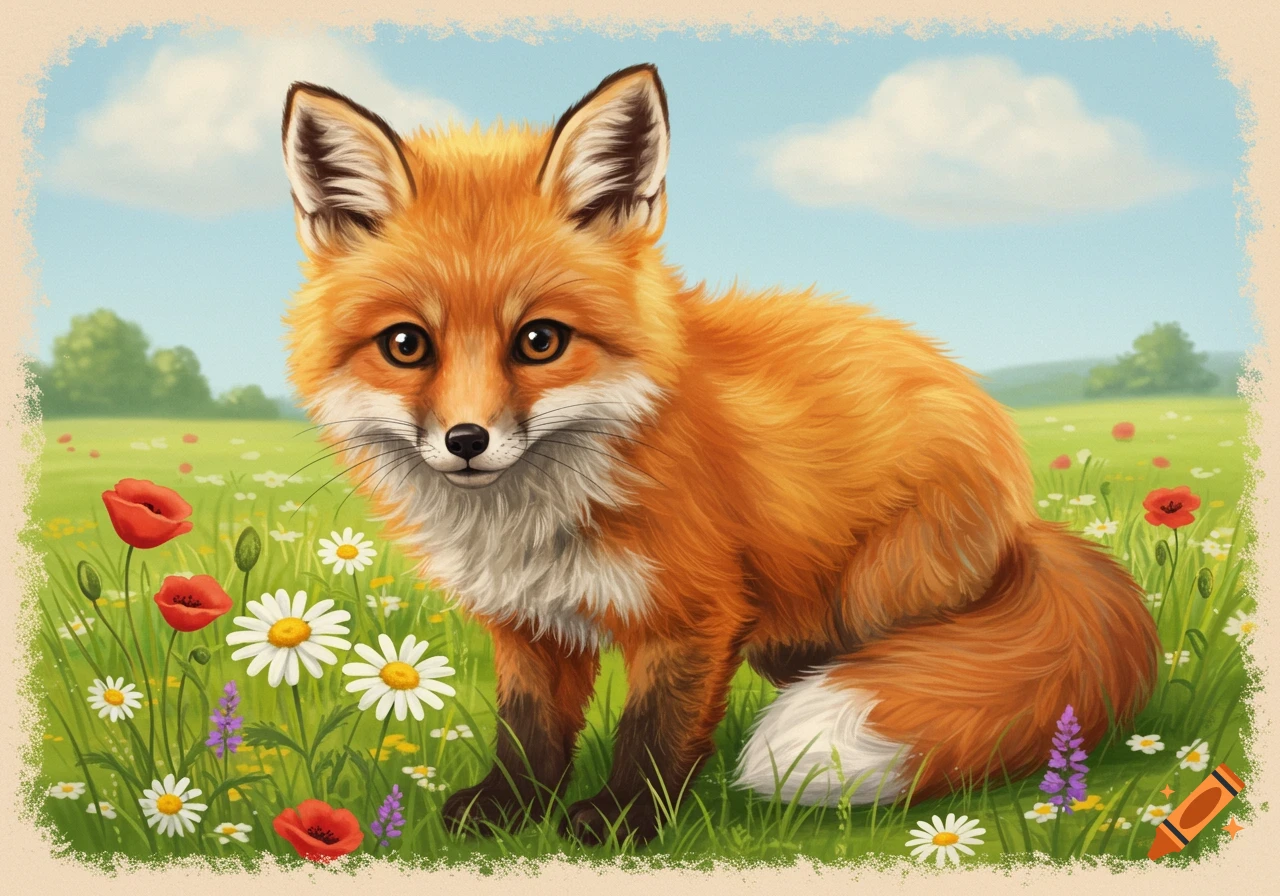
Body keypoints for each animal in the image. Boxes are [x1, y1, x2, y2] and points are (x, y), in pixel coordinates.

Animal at [279, 64, 1160, 845]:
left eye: (540, 340)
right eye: (406, 345)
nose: (466, 442)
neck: (537, 516)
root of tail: (1023, 517)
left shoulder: (694, 614)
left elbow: (654, 731)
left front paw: (625, 823)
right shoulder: (529, 622)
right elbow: (528, 731)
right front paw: (509, 812)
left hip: (868, 604)